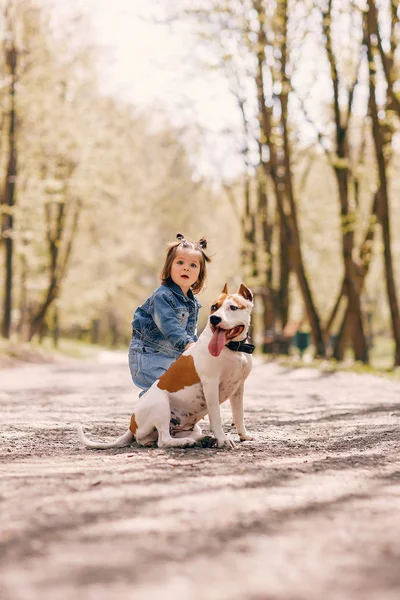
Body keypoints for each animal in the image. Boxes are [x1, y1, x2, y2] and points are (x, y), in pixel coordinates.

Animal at [76, 284, 255, 448]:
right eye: (214, 307)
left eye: (233, 307)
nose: (214, 319)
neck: (233, 349)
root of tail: (131, 425)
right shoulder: (210, 385)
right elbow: (216, 416)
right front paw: (223, 440)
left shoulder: (238, 388)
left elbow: (239, 414)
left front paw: (244, 435)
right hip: (161, 404)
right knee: (163, 440)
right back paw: (187, 442)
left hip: (188, 426)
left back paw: (203, 440)